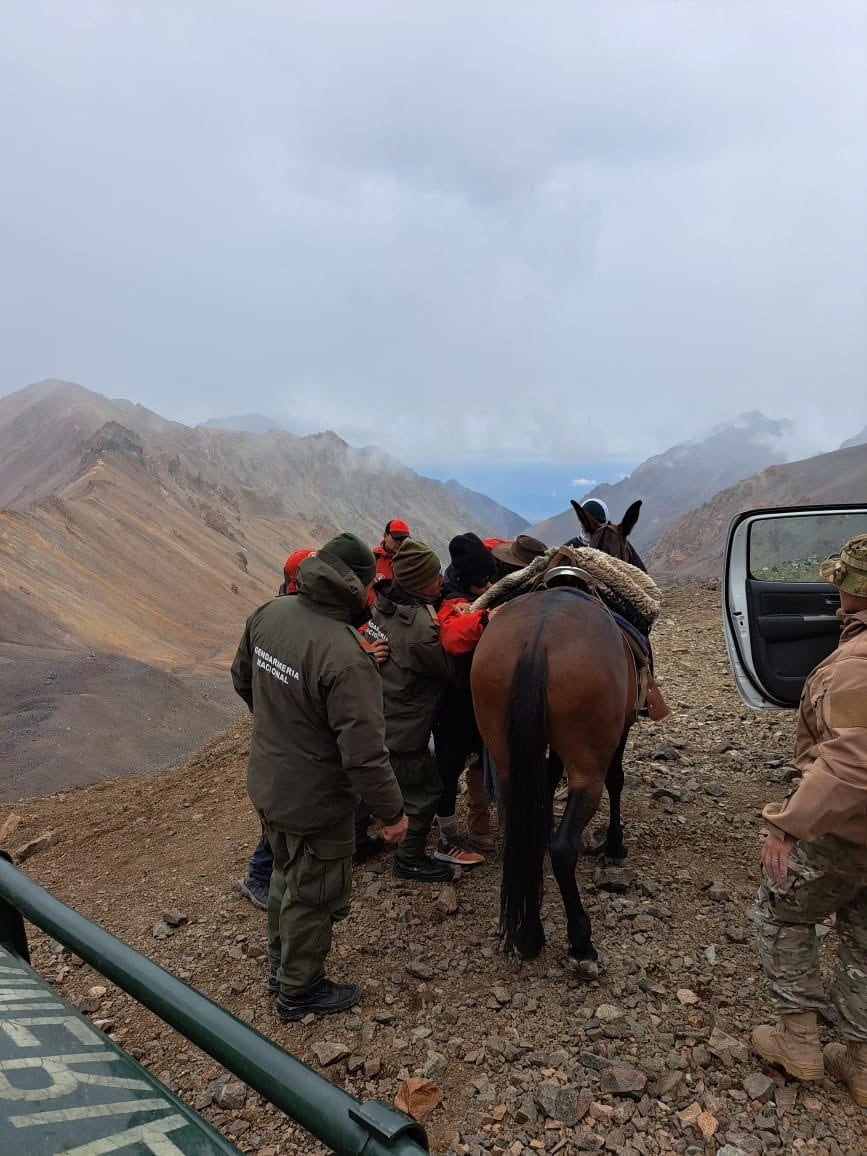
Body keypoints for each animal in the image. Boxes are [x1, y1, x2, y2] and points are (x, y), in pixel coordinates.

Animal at [469, 508, 647, 975]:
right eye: (629, 549)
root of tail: (538, 640)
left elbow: (546, 787)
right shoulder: (620, 731)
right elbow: (618, 780)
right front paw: (615, 845)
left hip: (505, 754)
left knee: (520, 828)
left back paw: (526, 929)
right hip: (587, 763)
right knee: (563, 846)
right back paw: (579, 940)